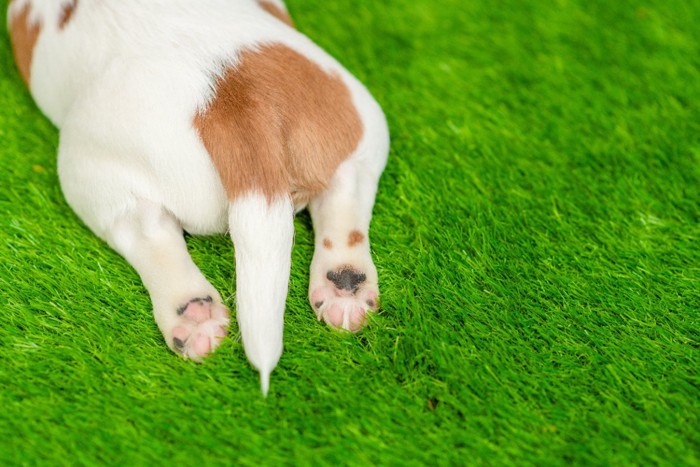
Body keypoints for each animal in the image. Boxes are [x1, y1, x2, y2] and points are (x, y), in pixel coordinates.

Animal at [8, 0, 388, 394]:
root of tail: (227, 95)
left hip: (91, 173)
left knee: (148, 234)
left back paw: (193, 316)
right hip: (359, 120)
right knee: (345, 198)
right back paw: (345, 290)